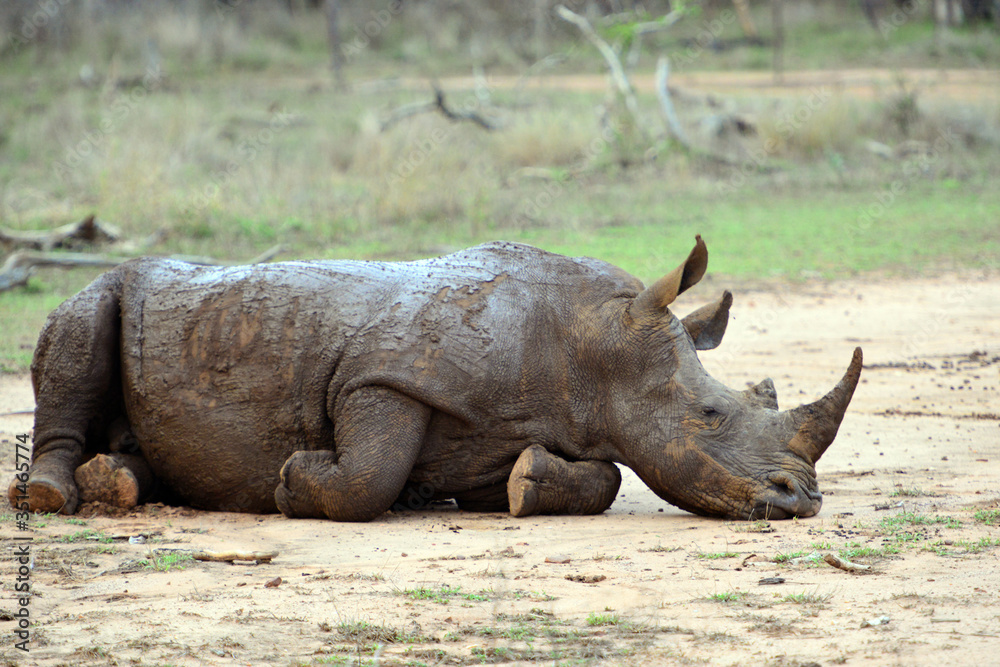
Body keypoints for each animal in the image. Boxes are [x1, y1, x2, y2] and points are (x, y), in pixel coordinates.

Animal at [10, 237, 862, 522]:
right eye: (712, 413)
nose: (802, 500)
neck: (592, 341)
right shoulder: (381, 375)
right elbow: (370, 472)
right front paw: (291, 479)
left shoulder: (508, 423)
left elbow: (604, 476)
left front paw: (529, 483)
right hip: (102, 290)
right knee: (82, 330)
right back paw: (53, 495)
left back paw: (119, 481)